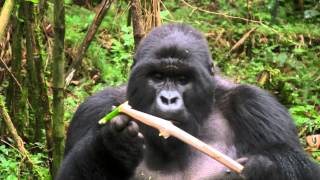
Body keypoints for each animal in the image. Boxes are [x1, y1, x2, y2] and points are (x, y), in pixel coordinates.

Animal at [56, 24, 318, 180]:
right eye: (157, 77)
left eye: (183, 80)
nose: (168, 98)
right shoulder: (95, 109)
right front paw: (112, 146)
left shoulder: (256, 105)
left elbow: (307, 170)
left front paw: (262, 170)